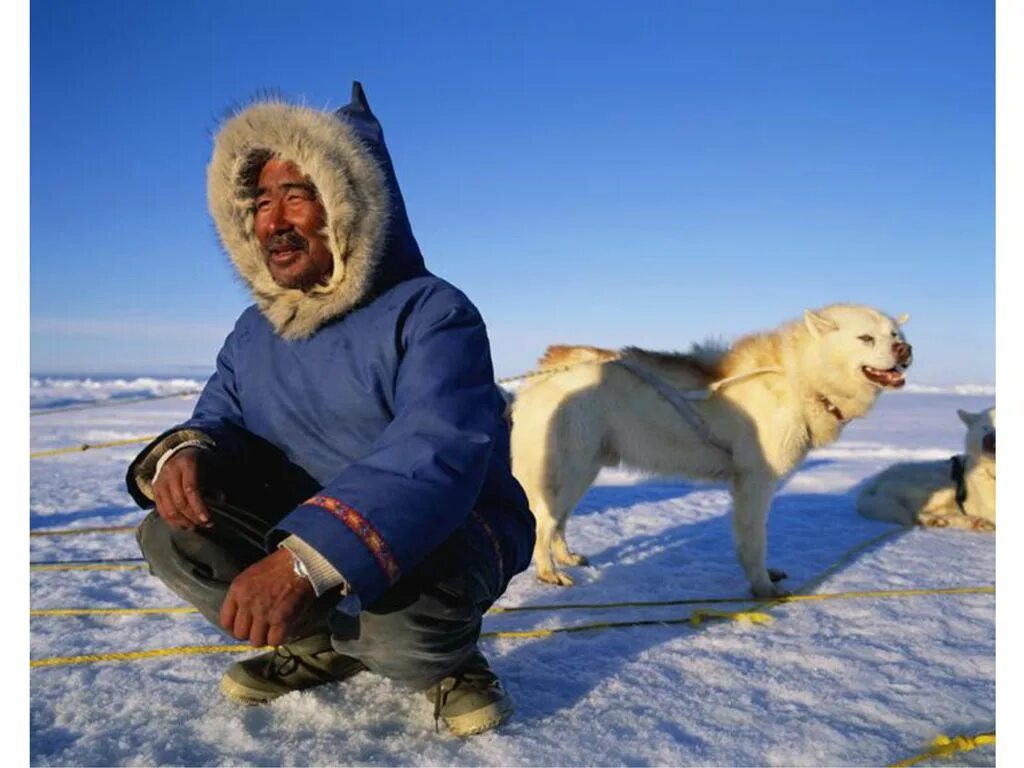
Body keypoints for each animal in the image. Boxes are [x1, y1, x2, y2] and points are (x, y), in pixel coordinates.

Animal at [509, 303, 913, 598]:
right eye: (865, 337)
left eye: (894, 334)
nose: (905, 349)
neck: (799, 379)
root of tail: (546, 370)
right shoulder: (755, 484)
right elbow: (754, 543)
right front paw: (763, 588)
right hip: (566, 473)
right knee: (543, 522)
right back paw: (548, 573)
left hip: (583, 471)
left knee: (558, 523)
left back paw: (566, 558)